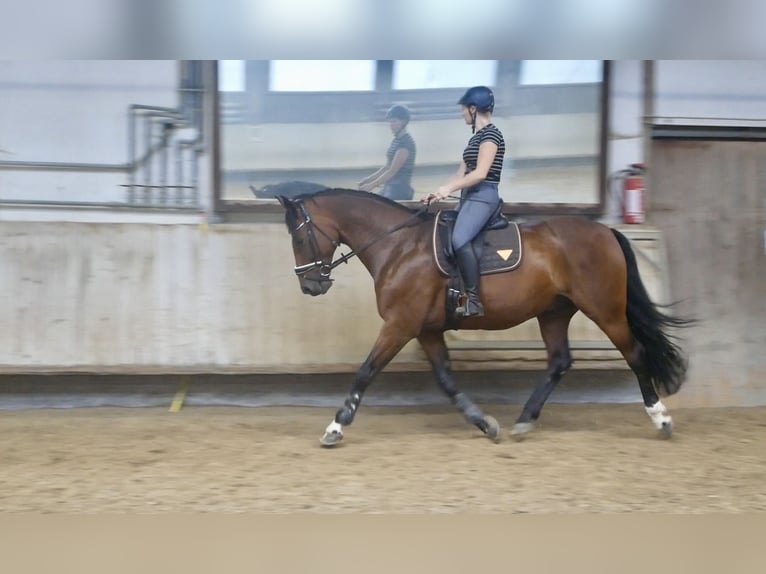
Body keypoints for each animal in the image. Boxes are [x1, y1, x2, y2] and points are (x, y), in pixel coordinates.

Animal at [278, 191, 696, 448]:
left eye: (298, 237)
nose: (309, 285)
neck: (398, 246)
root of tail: (605, 230)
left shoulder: (400, 325)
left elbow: (365, 372)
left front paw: (335, 427)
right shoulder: (427, 330)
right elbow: (446, 381)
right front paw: (484, 422)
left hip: (604, 309)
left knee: (635, 354)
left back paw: (660, 419)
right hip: (554, 312)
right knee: (559, 362)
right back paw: (524, 420)